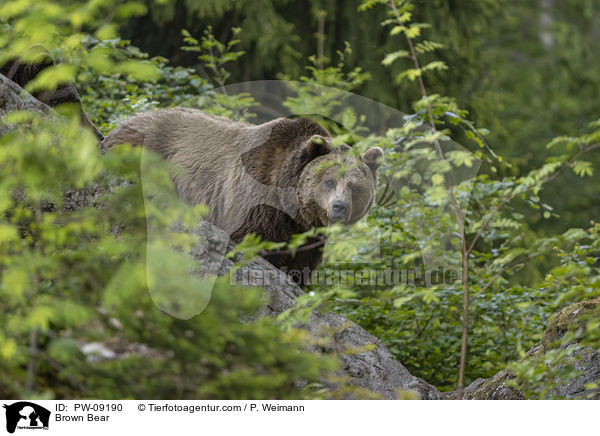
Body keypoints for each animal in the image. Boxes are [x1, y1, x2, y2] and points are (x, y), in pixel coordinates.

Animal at [101, 110, 382, 282]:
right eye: (329, 181)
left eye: (355, 187)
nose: (339, 207)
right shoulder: (255, 197)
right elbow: (249, 240)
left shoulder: (306, 235)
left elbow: (299, 266)